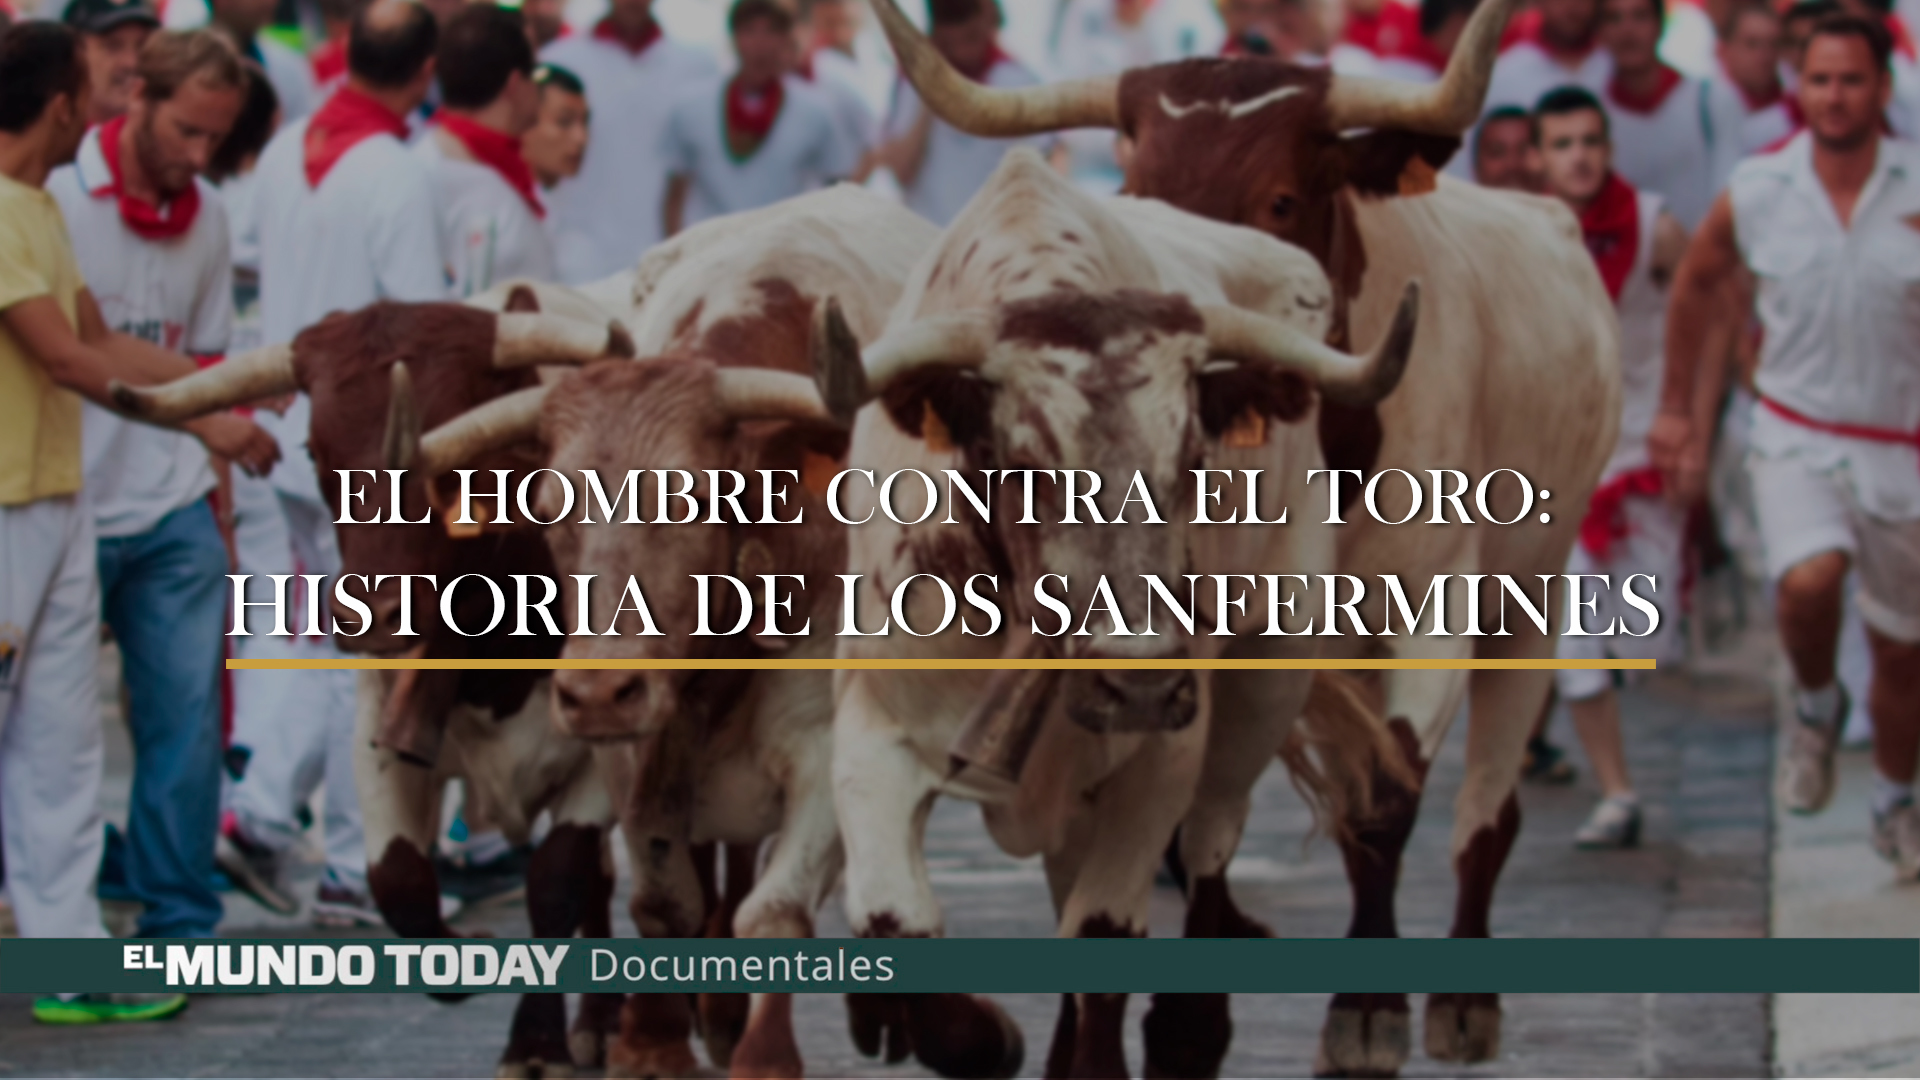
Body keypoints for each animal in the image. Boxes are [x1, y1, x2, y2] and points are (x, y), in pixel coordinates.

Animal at [867, 0, 1620, 1068]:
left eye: (1282, 198)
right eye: (1138, 193)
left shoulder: (1431, 602)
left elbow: (1382, 800)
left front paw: (1364, 1009)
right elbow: (1185, 832)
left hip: (1534, 594)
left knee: (1487, 797)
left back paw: (1463, 992)